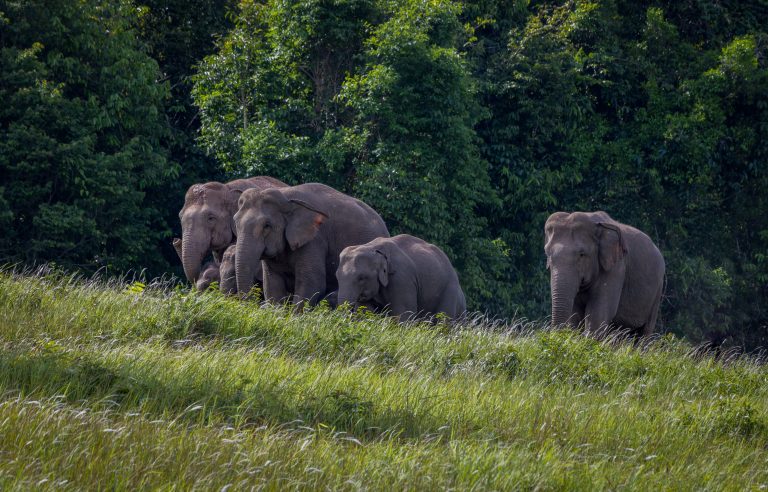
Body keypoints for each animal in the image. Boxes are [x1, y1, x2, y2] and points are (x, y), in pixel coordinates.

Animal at [234, 183, 390, 306]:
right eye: (235, 221)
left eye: (267, 225)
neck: (287, 196)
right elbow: (272, 284)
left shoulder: (315, 240)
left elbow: (312, 283)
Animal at [336, 234, 466, 322]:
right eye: (337, 277)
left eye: (361, 278)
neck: (373, 248)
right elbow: (365, 311)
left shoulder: (402, 278)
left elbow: (403, 314)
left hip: (449, 290)